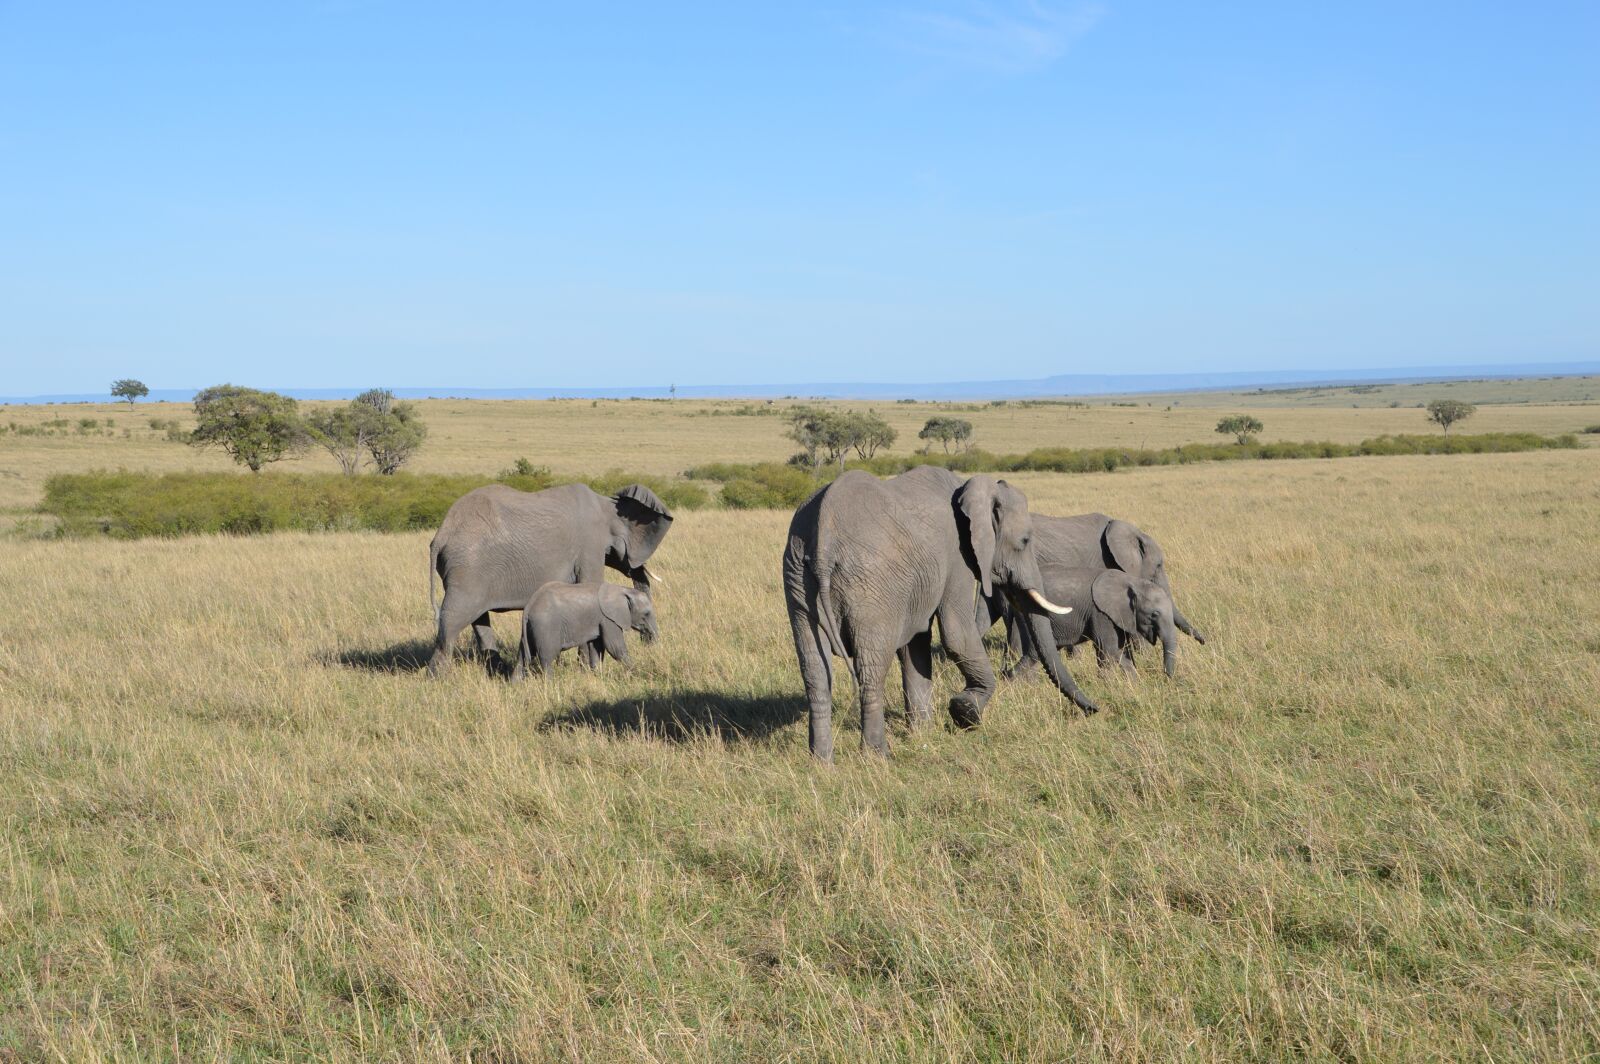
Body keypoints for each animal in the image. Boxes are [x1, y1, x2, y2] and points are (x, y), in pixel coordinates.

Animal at [511, 581, 658, 680]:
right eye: (646, 614)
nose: (649, 641)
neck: (622, 590)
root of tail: (529, 607)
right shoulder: (608, 619)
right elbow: (614, 647)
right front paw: (638, 672)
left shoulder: (599, 620)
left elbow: (597, 648)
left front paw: (598, 676)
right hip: (546, 626)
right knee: (546, 659)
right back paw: (550, 684)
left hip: (530, 629)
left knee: (521, 659)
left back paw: (515, 686)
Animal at [783, 465, 1100, 762]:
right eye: (1024, 541)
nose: (1095, 710)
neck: (971, 489)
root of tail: (824, 536)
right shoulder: (957, 556)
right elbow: (956, 634)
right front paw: (964, 713)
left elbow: (916, 646)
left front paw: (923, 732)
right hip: (868, 586)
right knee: (871, 668)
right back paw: (878, 757)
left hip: (799, 580)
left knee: (815, 671)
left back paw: (821, 762)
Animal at [1003, 567, 1178, 679]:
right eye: (1154, 614)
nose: (1166, 678)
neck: (1131, 582)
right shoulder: (1100, 613)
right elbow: (1109, 649)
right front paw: (1109, 684)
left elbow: (1120, 650)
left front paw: (1135, 684)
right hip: (1029, 615)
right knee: (1033, 653)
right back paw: (1010, 682)